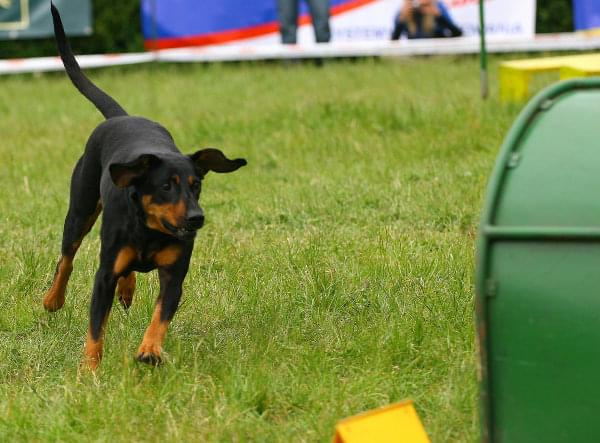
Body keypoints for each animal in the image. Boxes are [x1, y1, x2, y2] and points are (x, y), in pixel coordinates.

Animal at [43, 4, 246, 372]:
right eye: (166, 185)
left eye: (197, 186)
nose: (196, 218)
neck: (151, 230)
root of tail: (122, 116)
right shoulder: (104, 274)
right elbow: (96, 325)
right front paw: (89, 369)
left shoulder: (175, 273)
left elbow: (161, 314)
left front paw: (150, 350)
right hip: (81, 208)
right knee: (67, 256)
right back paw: (53, 299)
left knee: (125, 273)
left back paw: (128, 290)